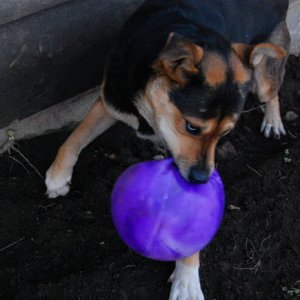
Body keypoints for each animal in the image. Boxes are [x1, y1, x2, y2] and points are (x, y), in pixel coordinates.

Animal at [45, 1, 290, 298]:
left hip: (264, 74)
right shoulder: (112, 101)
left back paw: (273, 120)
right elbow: (75, 136)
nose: (201, 178)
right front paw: (58, 175)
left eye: (225, 134)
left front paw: (187, 278)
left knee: (272, 90)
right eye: (192, 127)